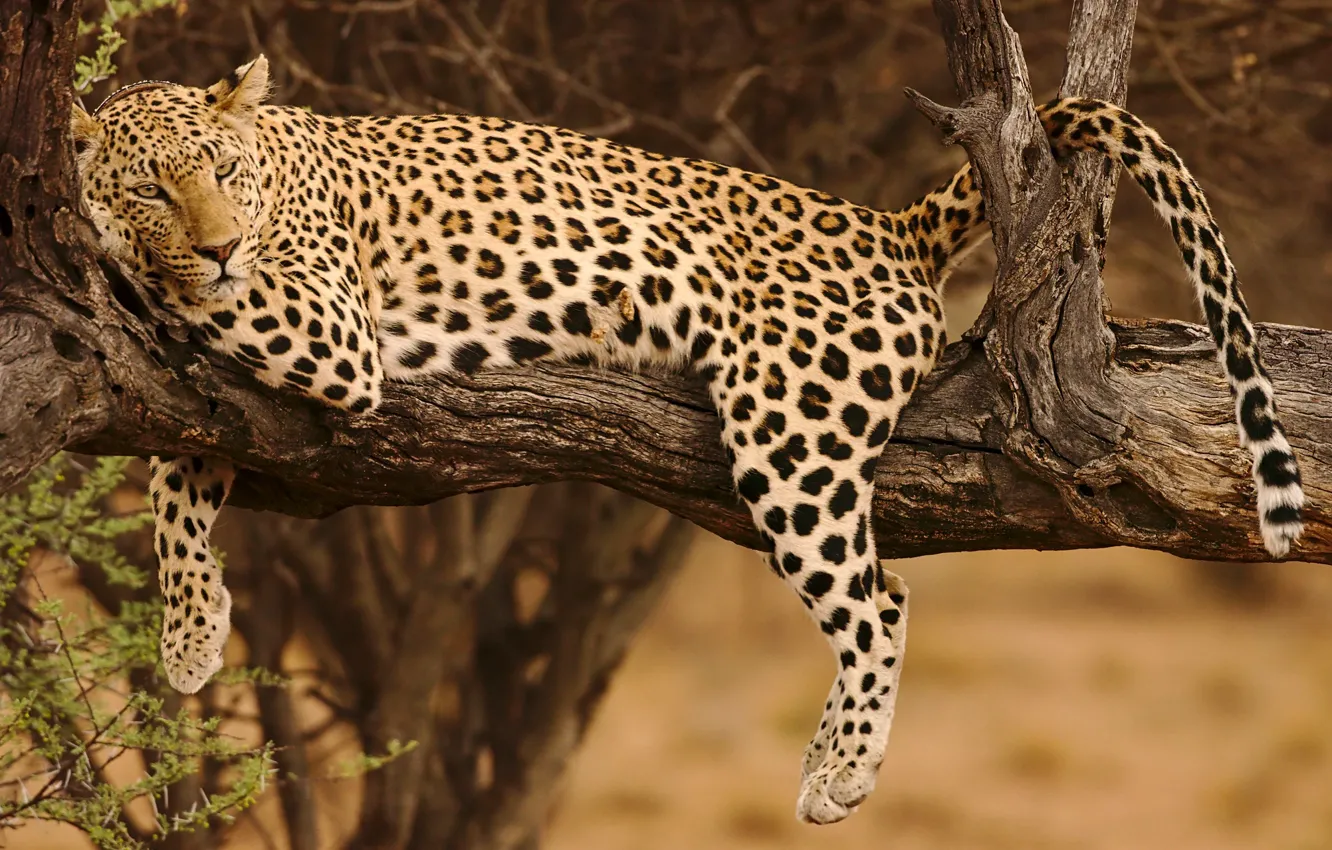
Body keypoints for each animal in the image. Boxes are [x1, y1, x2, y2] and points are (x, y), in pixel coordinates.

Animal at [71, 55, 1305, 825]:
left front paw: (101, 257)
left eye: (223, 176)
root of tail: (881, 223)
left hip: (791, 427)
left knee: (879, 600)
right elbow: (178, 468)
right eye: (156, 186)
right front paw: (190, 631)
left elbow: (180, 349)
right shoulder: (239, 387)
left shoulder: (329, 327)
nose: (221, 247)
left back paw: (839, 775)